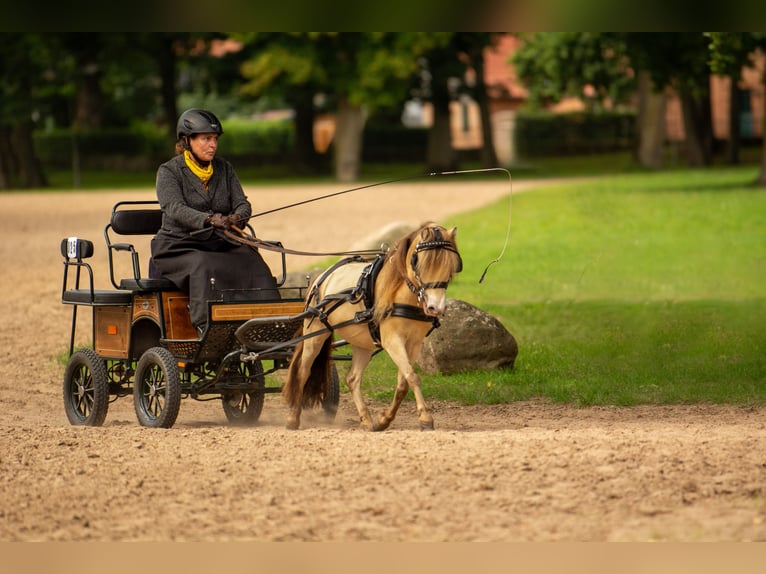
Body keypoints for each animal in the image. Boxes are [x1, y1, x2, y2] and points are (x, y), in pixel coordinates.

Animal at [282, 222, 462, 431]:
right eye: (421, 264)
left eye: (451, 267)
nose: (436, 307)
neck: (402, 296)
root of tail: (322, 277)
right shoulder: (392, 340)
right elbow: (412, 376)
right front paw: (425, 418)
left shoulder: (414, 344)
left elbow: (404, 381)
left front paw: (384, 419)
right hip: (314, 334)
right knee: (303, 372)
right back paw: (293, 418)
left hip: (362, 342)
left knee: (352, 379)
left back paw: (366, 419)